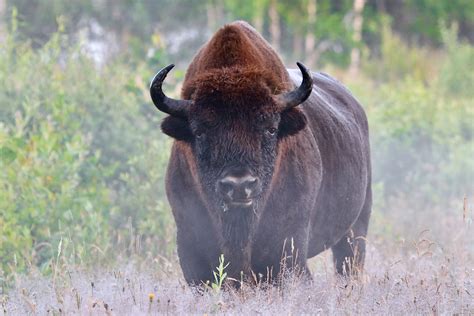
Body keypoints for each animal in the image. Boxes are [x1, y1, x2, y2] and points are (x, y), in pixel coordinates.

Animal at [150, 21, 372, 286]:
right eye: (200, 132)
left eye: (271, 129)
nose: (239, 185)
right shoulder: (191, 246)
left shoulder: (288, 248)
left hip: (355, 229)